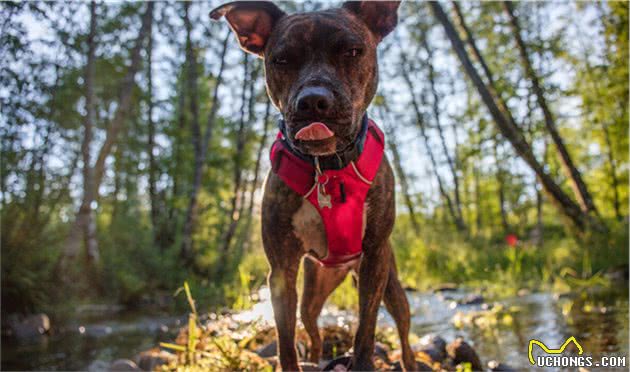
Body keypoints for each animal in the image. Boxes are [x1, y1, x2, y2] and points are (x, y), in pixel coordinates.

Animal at [211, 1, 414, 370]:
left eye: (352, 51)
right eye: (281, 60)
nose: (313, 100)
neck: (327, 166)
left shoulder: (375, 259)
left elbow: (366, 329)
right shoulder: (281, 270)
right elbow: (285, 340)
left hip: (391, 286)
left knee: (404, 334)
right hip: (314, 289)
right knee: (312, 328)